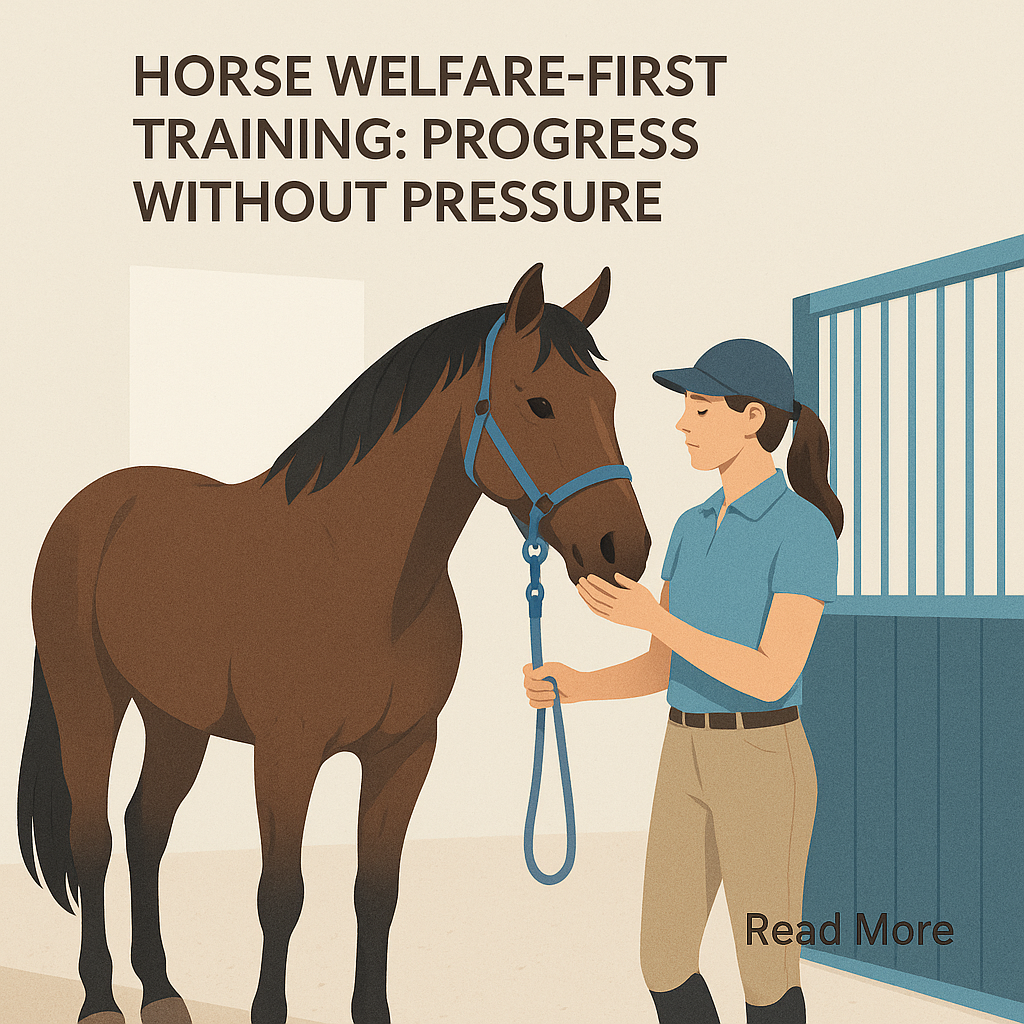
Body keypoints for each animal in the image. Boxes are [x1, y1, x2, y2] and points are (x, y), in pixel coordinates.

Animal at [18, 263, 650, 1024]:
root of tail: (94, 504)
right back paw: (100, 1000)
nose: (625, 548)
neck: (361, 575)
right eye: (540, 404)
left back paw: (164, 993)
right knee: (94, 840)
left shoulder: (404, 752)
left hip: (176, 720)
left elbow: (376, 893)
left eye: (608, 400)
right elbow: (280, 895)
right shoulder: (286, 755)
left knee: (147, 830)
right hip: (91, 701)